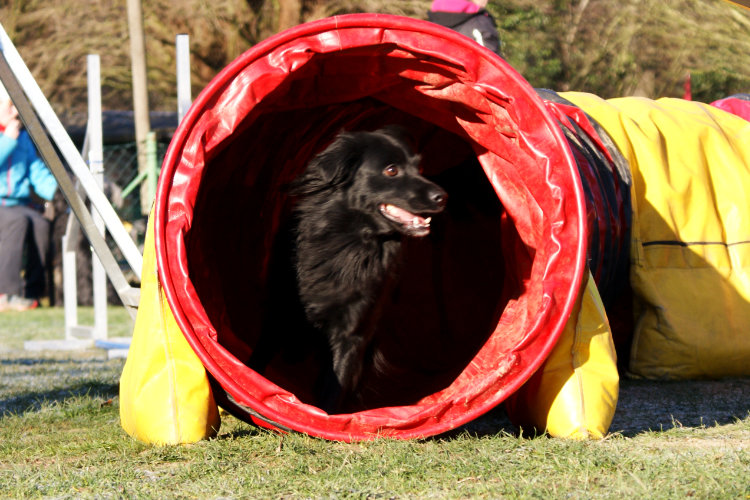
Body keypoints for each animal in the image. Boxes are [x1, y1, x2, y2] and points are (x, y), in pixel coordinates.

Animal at [250, 127, 450, 412]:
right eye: (391, 170)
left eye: (419, 167)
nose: (442, 197)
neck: (351, 242)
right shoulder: (281, 311)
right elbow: (260, 356)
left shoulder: (353, 332)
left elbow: (335, 385)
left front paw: (322, 417)